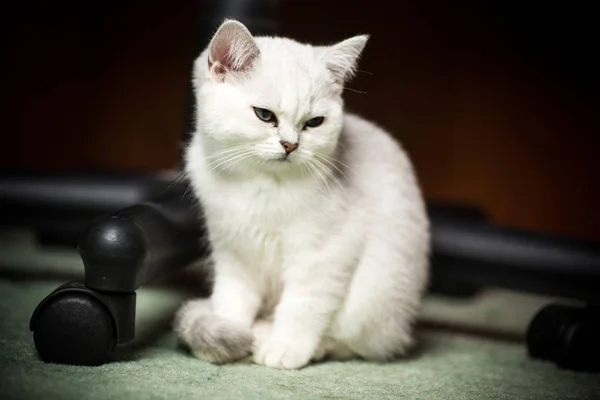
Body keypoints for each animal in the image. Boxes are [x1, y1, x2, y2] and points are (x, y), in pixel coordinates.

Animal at [175, 18, 432, 368]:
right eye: (265, 115)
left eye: (314, 122)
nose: (290, 145)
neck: (262, 184)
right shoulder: (233, 251)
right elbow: (232, 298)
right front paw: (226, 330)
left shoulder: (324, 254)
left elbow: (302, 306)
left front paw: (285, 346)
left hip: (373, 297)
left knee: (355, 342)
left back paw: (280, 338)